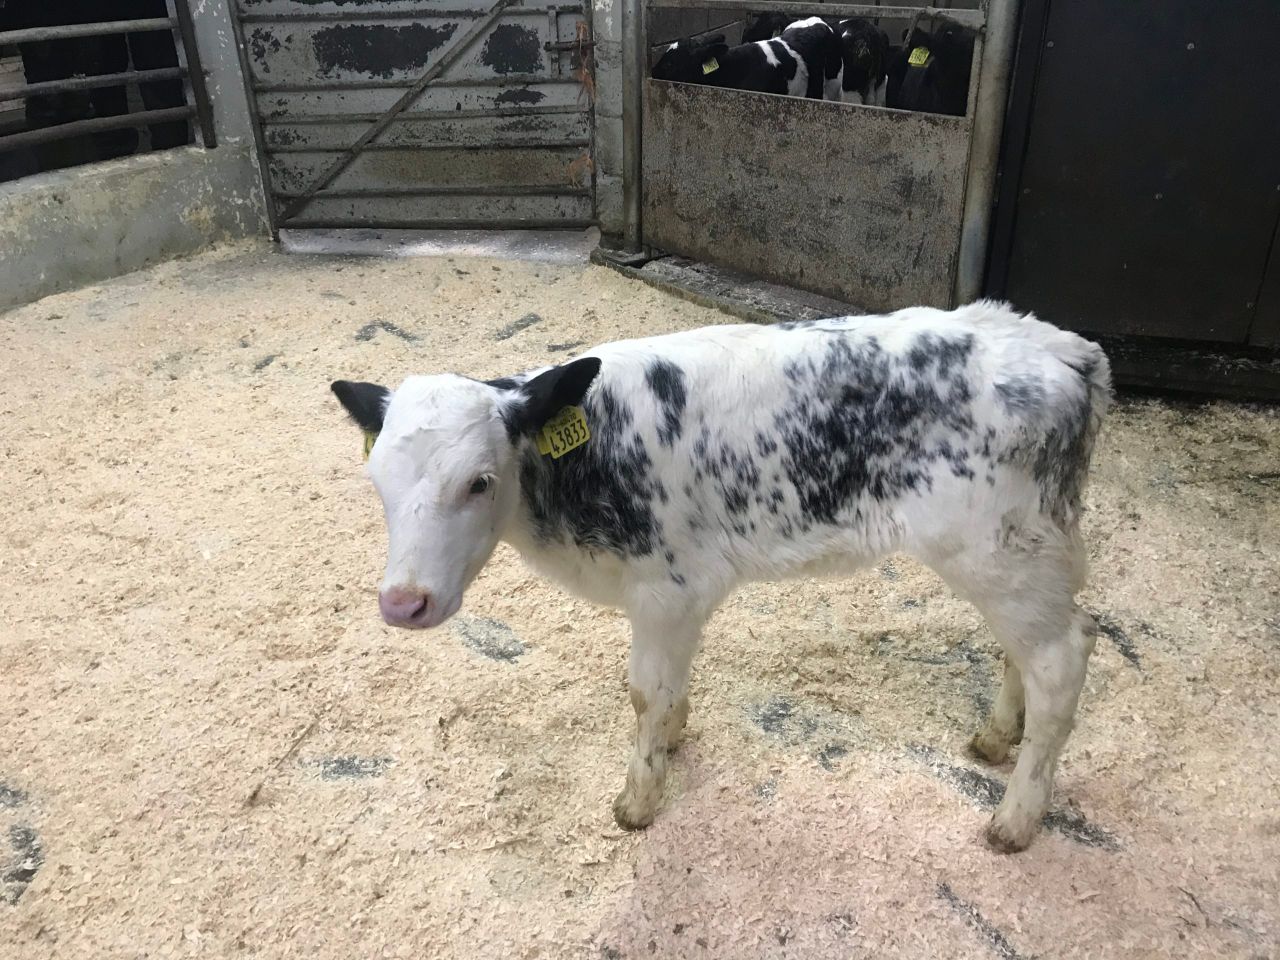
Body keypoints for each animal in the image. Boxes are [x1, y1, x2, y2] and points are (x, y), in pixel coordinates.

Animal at [331, 301, 1112, 853]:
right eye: (377, 481)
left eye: (480, 482)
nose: (403, 602)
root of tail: (1065, 348)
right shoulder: (682, 597)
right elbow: (670, 690)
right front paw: (674, 738)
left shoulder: (664, 590)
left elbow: (644, 694)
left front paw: (639, 800)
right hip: (1025, 551)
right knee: (1028, 650)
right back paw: (996, 737)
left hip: (997, 547)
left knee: (1063, 656)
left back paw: (1015, 818)